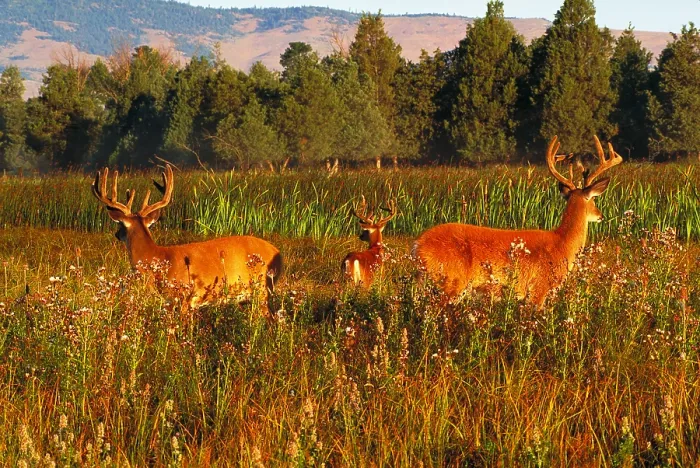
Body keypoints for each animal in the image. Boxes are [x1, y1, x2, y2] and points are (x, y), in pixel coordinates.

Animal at [92, 164, 282, 310]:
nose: (117, 234)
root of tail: (279, 254)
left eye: (120, 225)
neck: (155, 258)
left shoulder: (183, 298)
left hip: (261, 290)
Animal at [413, 135, 623, 307]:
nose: (601, 215)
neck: (562, 243)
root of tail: (417, 247)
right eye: (593, 199)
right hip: (451, 282)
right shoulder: (538, 288)